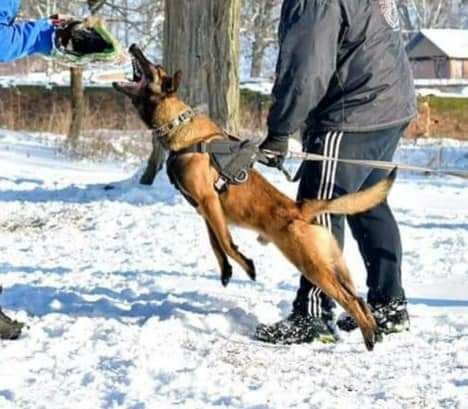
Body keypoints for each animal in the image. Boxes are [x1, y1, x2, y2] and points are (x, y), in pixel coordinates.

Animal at [112, 45, 394, 350]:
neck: (181, 132)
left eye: (153, 68)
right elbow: (216, 244)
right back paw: (375, 328)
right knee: (359, 298)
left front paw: (247, 266)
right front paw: (226, 271)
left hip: (312, 266)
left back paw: (368, 337)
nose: (134, 47)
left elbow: (226, 242)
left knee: (350, 300)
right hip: (335, 265)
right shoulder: (206, 211)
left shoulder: (209, 202)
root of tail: (301, 209)